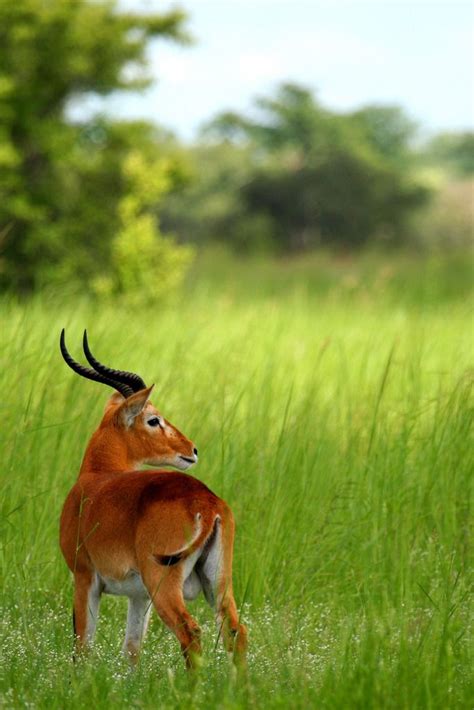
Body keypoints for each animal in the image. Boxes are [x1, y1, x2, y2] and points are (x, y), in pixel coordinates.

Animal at [58, 330, 248, 672]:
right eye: (153, 419)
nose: (192, 449)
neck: (96, 477)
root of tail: (206, 503)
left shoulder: (84, 577)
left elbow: (83, 646)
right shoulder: (139, 596)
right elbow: (131, 650)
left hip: (165, 583)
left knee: (191, 632)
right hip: (218, 582)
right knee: (235, 631)